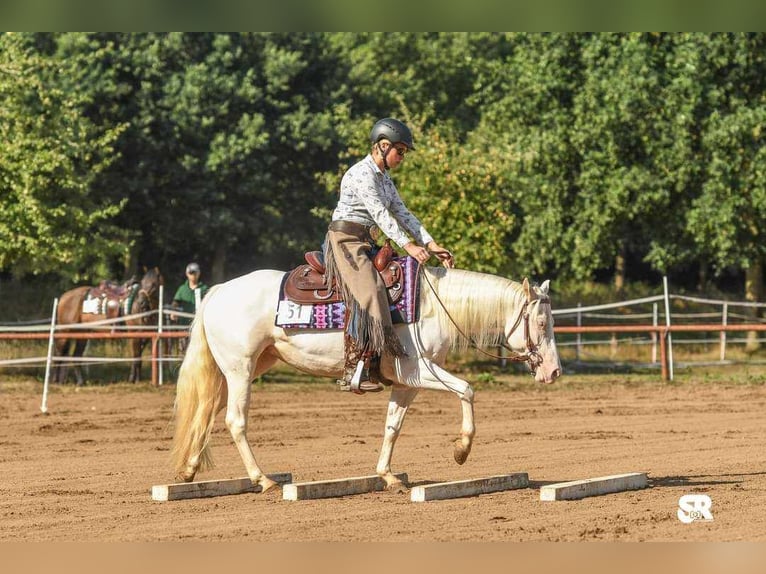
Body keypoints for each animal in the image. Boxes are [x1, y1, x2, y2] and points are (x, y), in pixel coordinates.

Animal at [171, 266, 560, 496]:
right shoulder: (421, 371)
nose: (554, 371)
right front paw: (461, 450)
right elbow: (467, 390)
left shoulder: (407, 384)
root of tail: (219, 291)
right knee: (235, 421)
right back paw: (262, 479)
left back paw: (189, 470)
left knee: (205, 412)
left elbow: (392, 427)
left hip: (242, 369)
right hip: (240, 368)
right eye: (541, 323)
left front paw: (387, 476)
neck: (433, 307)